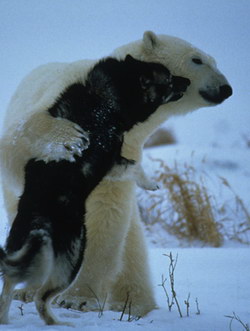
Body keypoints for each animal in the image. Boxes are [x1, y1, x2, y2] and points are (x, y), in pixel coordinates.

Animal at [0, 31, 232, 316]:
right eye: (197, 59)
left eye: (214, 60)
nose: (226, 88)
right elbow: (22, 138)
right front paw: (69, 137)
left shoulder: (126, 148)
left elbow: (106, 214)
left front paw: (79, 299)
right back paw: (27, 289)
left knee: (132, 246)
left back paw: (134, 304)